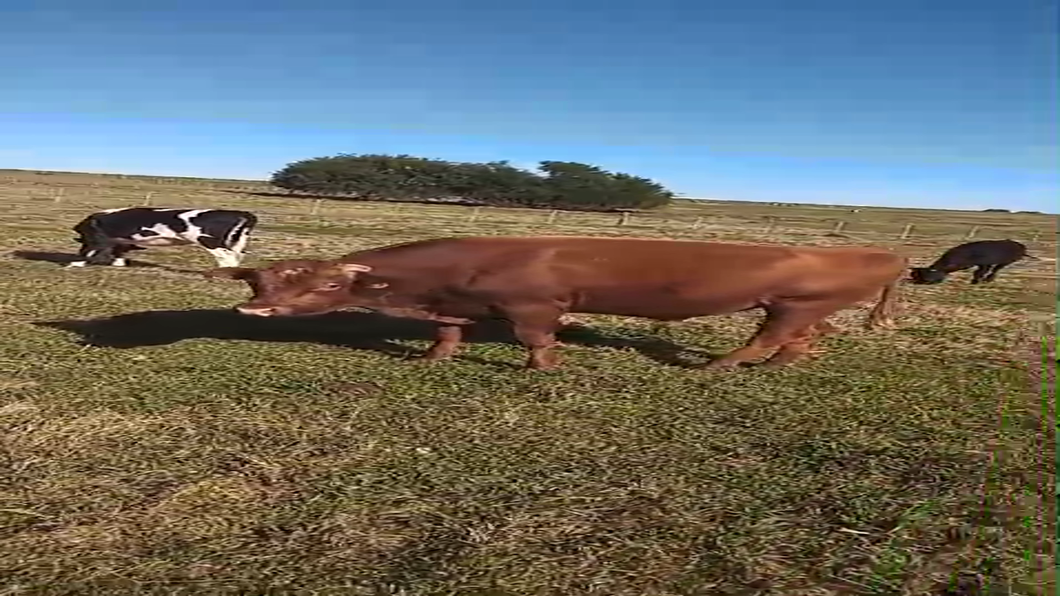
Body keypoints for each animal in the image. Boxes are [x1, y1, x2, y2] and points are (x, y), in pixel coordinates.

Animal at [69, 206, 257, 267]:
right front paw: (119, 264)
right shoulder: (120, 241)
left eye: (82, 240)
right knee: (237, 256)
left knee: (226, 256)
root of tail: (239, 213)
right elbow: (119, 251)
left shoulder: (98, 239)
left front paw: (75, 264)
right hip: (237, 241)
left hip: (209, 240)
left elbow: (91, 252)